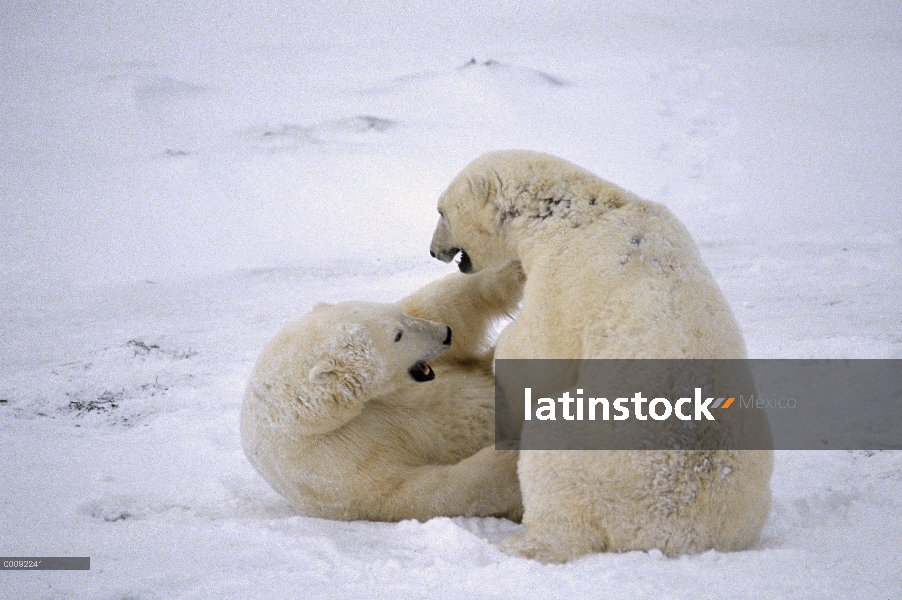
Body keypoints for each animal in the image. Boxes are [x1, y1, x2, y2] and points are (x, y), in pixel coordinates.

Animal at [240, 262, 528, 520]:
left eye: (401, 317)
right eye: (397, 335)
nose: (446, 334)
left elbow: (441, 304)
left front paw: (512, 269)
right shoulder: (333, 462)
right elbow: (412, 490)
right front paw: (508, 460)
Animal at [430, 150, 776, 564]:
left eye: (441, 212)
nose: (433, 250)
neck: (579, 211)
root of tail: (678, 534)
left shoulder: (566, 275)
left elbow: (537, 353)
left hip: (596, 458)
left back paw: (521, 542)